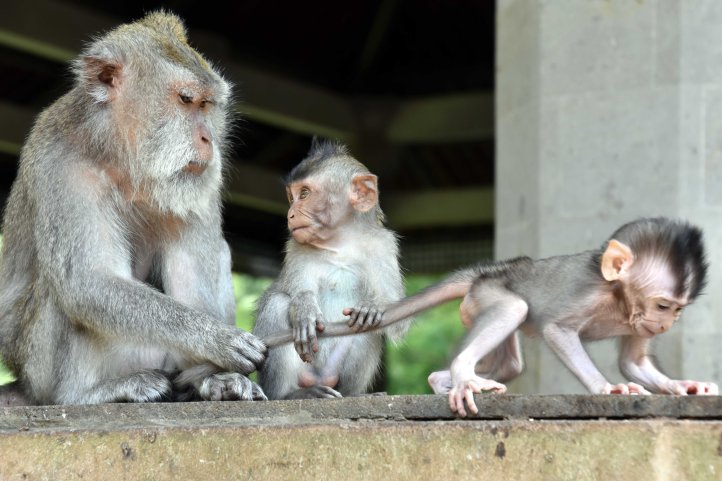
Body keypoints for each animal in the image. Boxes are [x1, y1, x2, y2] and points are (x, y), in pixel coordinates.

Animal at [0, 11, 267, 405]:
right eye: (186, 100)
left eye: (206, 105)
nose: (209, 139)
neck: (124, 159)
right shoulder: (59, 163)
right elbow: (88, 281)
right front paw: (218, 339)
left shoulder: (198, 184)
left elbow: (191, 261)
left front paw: (216, 374)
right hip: (41, 367)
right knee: (63, 287)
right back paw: (89, 394)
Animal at [251, 139, 410, 400]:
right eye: (291, 197)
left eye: (304, 194)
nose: (290, 214)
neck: (340, 244)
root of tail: (319, 378)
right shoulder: (296, 247)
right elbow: (286, 294)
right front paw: (304, 306)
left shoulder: (384, 247)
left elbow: (397, 322)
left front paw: (373, 306)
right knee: (277, 303)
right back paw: (291, 394)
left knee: (369, 328)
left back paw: (354, 394)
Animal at [335, 217, 718, 416]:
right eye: (663, 306)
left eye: (678, 309)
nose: (666, 324)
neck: (618, 296)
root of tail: (492, 271)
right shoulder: (589, 293)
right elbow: (557, 330)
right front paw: (606, 387)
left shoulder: (636, 320)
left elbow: (633, 362)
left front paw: (683, 386)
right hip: (487, 295)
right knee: (513, 308)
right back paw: (462, 375)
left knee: (511, 364)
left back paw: (443, 380)